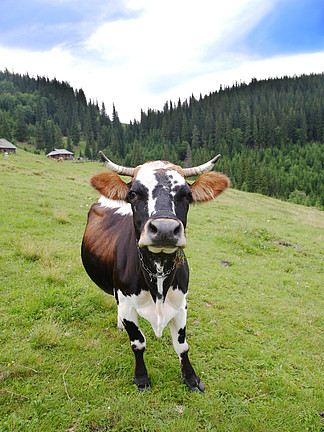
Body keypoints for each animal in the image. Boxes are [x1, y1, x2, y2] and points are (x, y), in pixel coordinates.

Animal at [81, 152, 229, 392]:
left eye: (187, 195)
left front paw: (191, 378)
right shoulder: (127, 304)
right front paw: (141, 378)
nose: (165, 230)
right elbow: (138, 343)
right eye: (133, 193)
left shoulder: (181, 303)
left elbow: (182, 345)